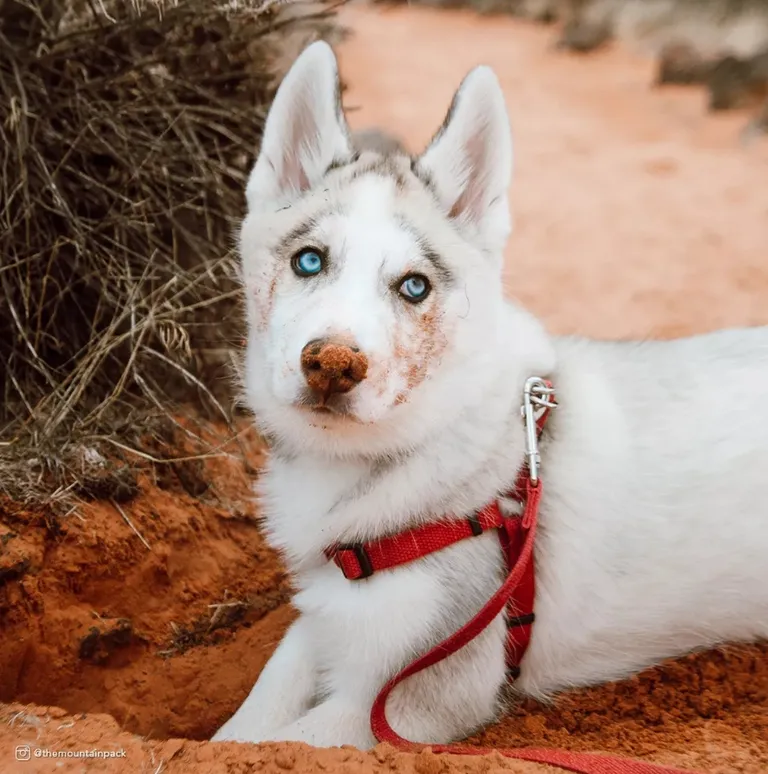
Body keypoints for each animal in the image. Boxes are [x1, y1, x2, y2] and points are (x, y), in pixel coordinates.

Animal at [210, 39, 768, 748]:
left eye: (414, 286)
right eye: (309, 260)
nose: (332, 365)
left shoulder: (411, 700)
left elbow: (284, 741)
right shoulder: (331, 615)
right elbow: (245, 723)